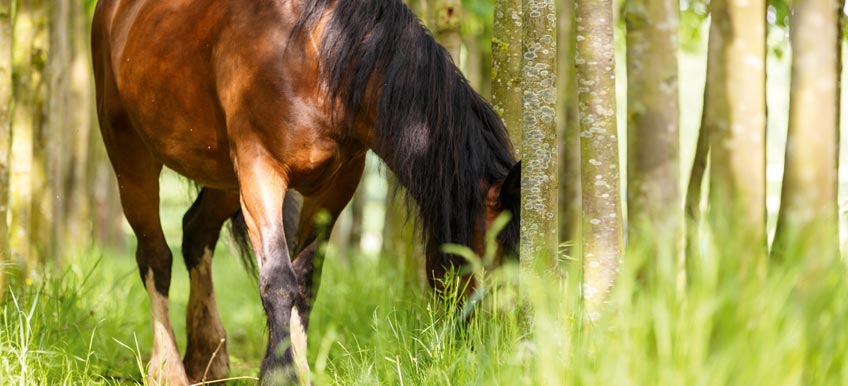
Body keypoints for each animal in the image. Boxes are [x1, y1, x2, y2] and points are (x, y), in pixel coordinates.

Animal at [89, 0, 520, 382]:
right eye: (492, 260)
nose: (495, 348)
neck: (317, 57)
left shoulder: (334, 187)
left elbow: (306, 281)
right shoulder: (259, 171)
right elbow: (279, 280)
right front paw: (280, 374)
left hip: (223, 176)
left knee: (196, 233)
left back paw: (208, 356)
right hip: (131, 157)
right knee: (155, 257)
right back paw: (167, 368)